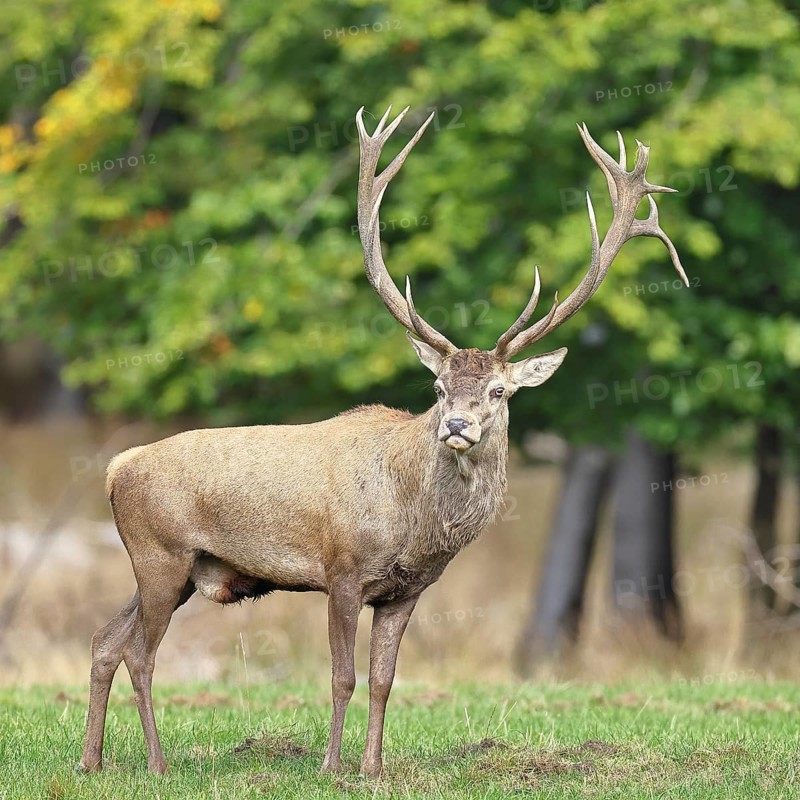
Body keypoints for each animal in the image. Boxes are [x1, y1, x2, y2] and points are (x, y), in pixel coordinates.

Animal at [78, 106, 686, 778]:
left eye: (499, 390)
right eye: (440, 386)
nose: (457, 425)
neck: (413, 520)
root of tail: (115, 468)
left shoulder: (406, 591)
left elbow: (384, 679)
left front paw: (371, 766)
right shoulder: (341, 569)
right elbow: (341, 676)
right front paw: (330, 766)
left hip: (179, 570)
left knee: (105, 640)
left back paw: (91, 761)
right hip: (161, 554)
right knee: (139, 652)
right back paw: (156, 764)